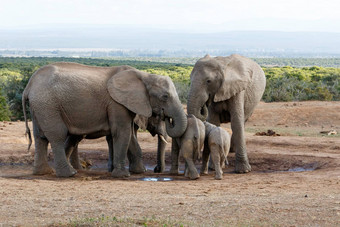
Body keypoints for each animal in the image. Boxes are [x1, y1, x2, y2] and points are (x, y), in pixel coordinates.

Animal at [21, 62, 186, 177]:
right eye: (165, 97)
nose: (157, 170)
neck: (144, 75)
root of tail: (28, 86)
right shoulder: (116, 103)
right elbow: (122, 132)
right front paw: (123, 175)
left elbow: (128, 135)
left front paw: (139, 171)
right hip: (48, 105)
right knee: (57, 135)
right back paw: (69, 173)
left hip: (40, 107)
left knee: (40, 137)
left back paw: (43, 172)